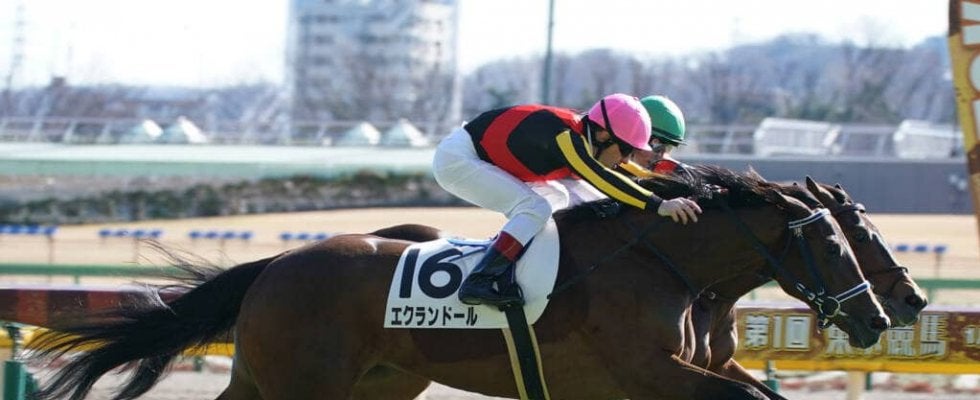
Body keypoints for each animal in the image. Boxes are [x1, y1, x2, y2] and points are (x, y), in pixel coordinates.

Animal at [29, 166, 889, 400]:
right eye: (840, 245)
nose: (883, 318)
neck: (658, 262)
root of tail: (275, 265)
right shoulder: (650, 372)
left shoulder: (682, 372)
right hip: (298, 380)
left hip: (356, 383)